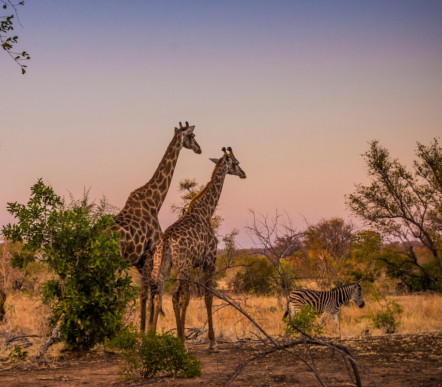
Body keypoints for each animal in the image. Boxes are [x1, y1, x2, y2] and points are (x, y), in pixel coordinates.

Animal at [115, 120, 203, 330]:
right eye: (192, 136)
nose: (199, 149)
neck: (155, 202)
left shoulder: (141, 260)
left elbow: (149, 293)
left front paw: (147, 330)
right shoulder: (149, 253)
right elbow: (147, 294)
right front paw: (144, 333)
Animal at [148, 147, 245, 350]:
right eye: (236, 163)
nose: (243, 174)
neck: (206, 212)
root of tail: (166, 241)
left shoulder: (195, 264)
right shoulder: (210, 260)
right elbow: (208, 297)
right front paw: (212, 342)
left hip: (162, 266)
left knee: (159, 294)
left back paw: (152, 338)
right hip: (183, 267)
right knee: (179, 296)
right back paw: (183, 344)